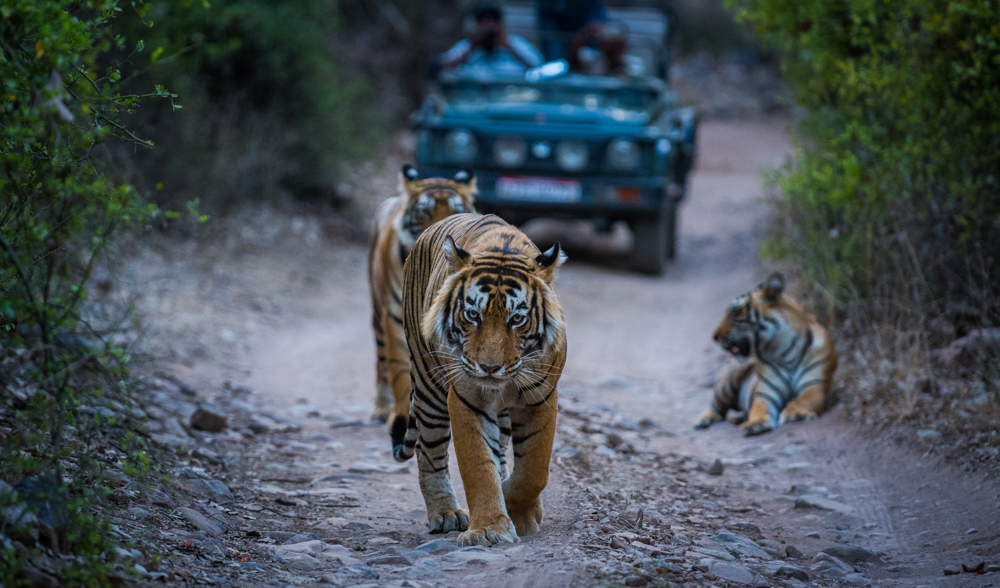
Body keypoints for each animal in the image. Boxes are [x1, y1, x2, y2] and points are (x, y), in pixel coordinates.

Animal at [368, 165, 477, 424]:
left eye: (457, 210)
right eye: (425, 211)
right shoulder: (394, 317)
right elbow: (398, 372)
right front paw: (399, 414)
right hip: (377, 312)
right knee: (381, 360)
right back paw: (380, 409)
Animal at [394, 213, 567, 547]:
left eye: (517, 319)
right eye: (473, 315)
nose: (489, 368)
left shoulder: (542, 397)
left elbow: (534, 469)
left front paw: (520, 510)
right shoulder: (466, 399)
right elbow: (478, 466)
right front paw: (489, 527)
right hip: (428, 386)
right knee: (429, 452)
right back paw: (446, 513)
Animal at [695, 272, 838, 436]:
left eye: (734, 311)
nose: (714, 337)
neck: (784, 350)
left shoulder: (814, 385)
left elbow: (802, 399)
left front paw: (794, 413)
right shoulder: (765, 393)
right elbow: (758, 408)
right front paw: (755, 423)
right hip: (729, 381)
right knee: (716, 406)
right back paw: (703, 419)